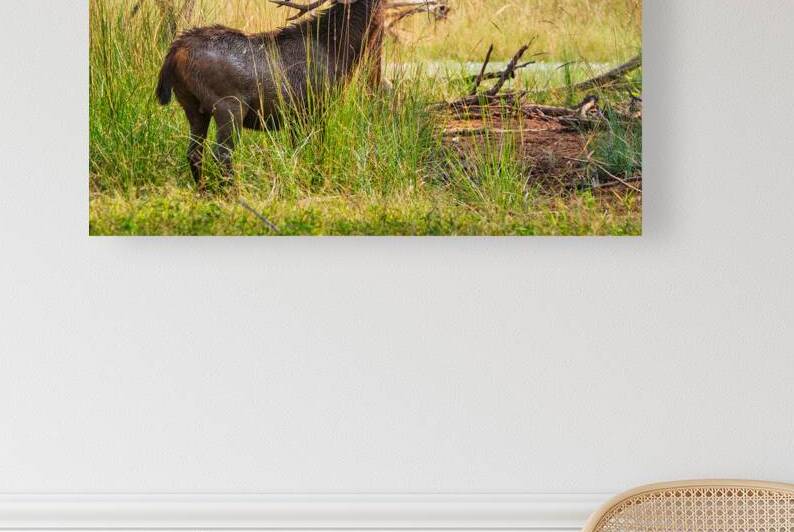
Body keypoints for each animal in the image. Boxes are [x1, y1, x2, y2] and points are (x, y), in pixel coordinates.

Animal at [156, 0, 385, 188]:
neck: (339, 51)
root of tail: (174, 53)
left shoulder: (296, 117)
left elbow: (297, 151)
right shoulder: (316, 107)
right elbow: (316, 150)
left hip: (192, 107)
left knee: (194, 153)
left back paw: (203, 190)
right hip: (228, 105)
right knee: (222, 154)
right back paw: (231, 193)